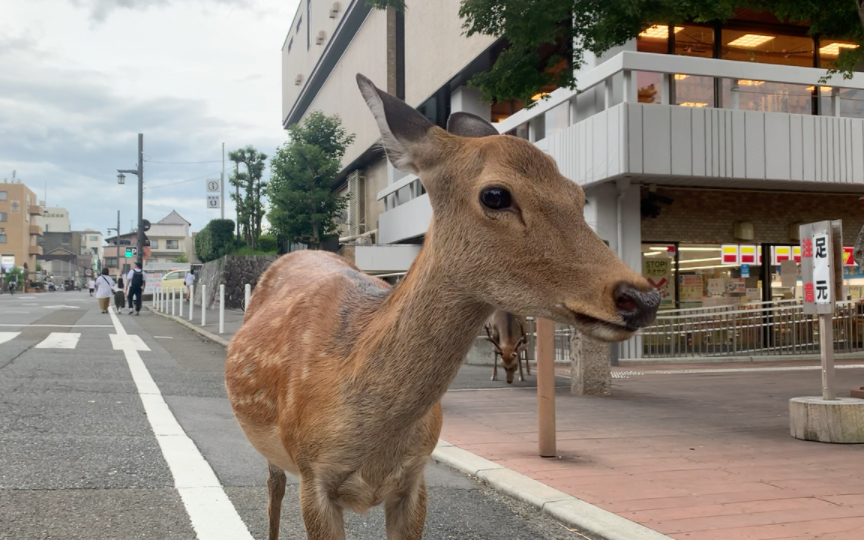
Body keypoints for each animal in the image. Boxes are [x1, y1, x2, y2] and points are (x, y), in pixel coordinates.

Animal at [224, 73, 660, 540]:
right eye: (495, 195)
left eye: (578, 194)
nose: (643, 298)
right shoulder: (314, 475)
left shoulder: (415, 477)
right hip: (273, 451)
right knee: (273, 488)